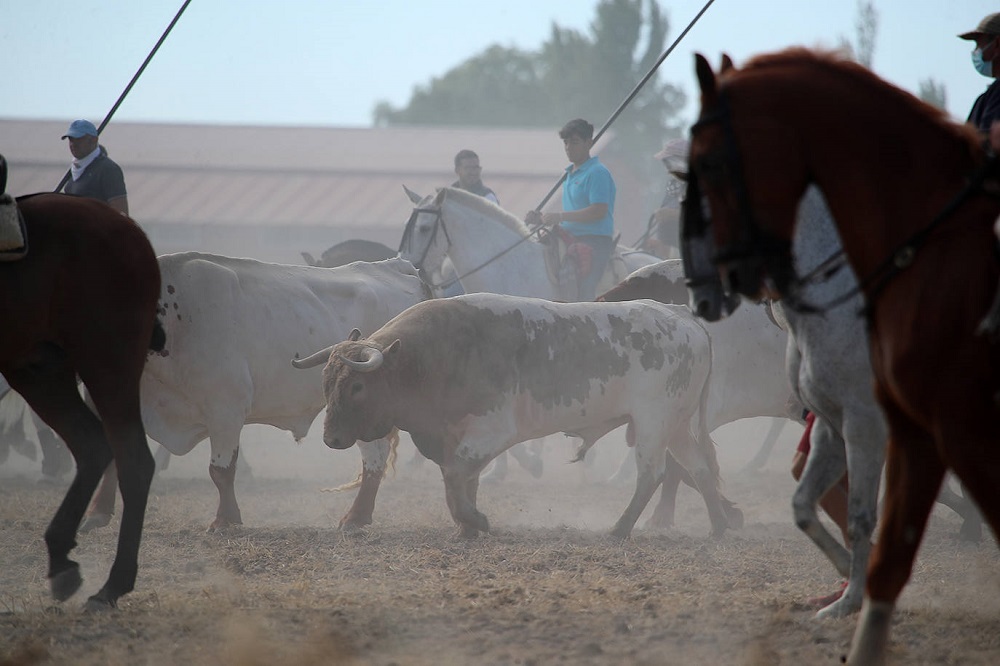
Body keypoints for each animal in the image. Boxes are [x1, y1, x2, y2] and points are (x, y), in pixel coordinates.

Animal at [0, 154, 164, 608]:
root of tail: (131, 231)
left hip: (105, 360)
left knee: (131, 458)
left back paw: (111, 584)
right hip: (39, 368)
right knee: (93, 445)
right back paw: (63, 561)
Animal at [684, 49, 1000, 660]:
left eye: (710, 169)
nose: (705, 295)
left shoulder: (869, 424)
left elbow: (860, 516)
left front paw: (851, 598)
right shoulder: (833, 427)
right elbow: (807, 506)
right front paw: (841, 586)